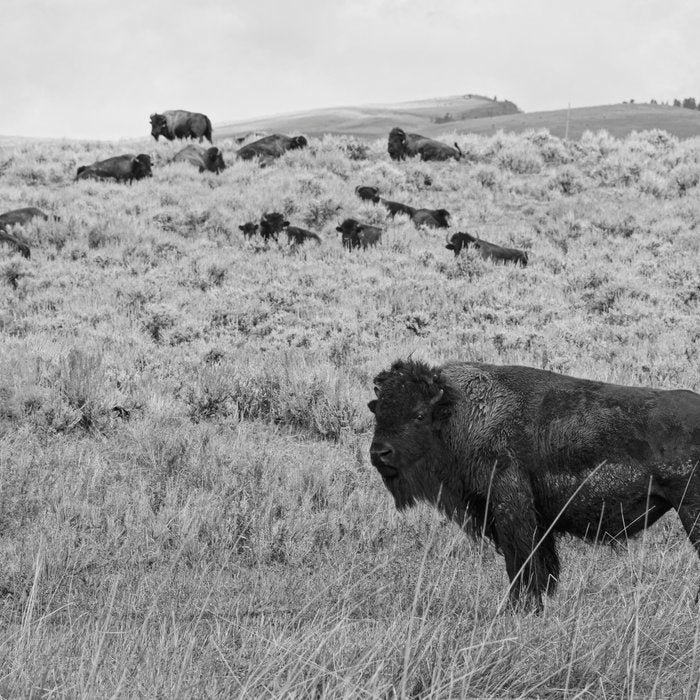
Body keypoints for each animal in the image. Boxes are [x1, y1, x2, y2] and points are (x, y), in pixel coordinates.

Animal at [369, 358, 700, 610]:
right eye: (378, 411)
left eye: (419, 415)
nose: (379, 453)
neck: (460, 413)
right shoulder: (537, 521)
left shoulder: (510, 508)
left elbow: (521, 563)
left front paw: (519, 608)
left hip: (689, 509)